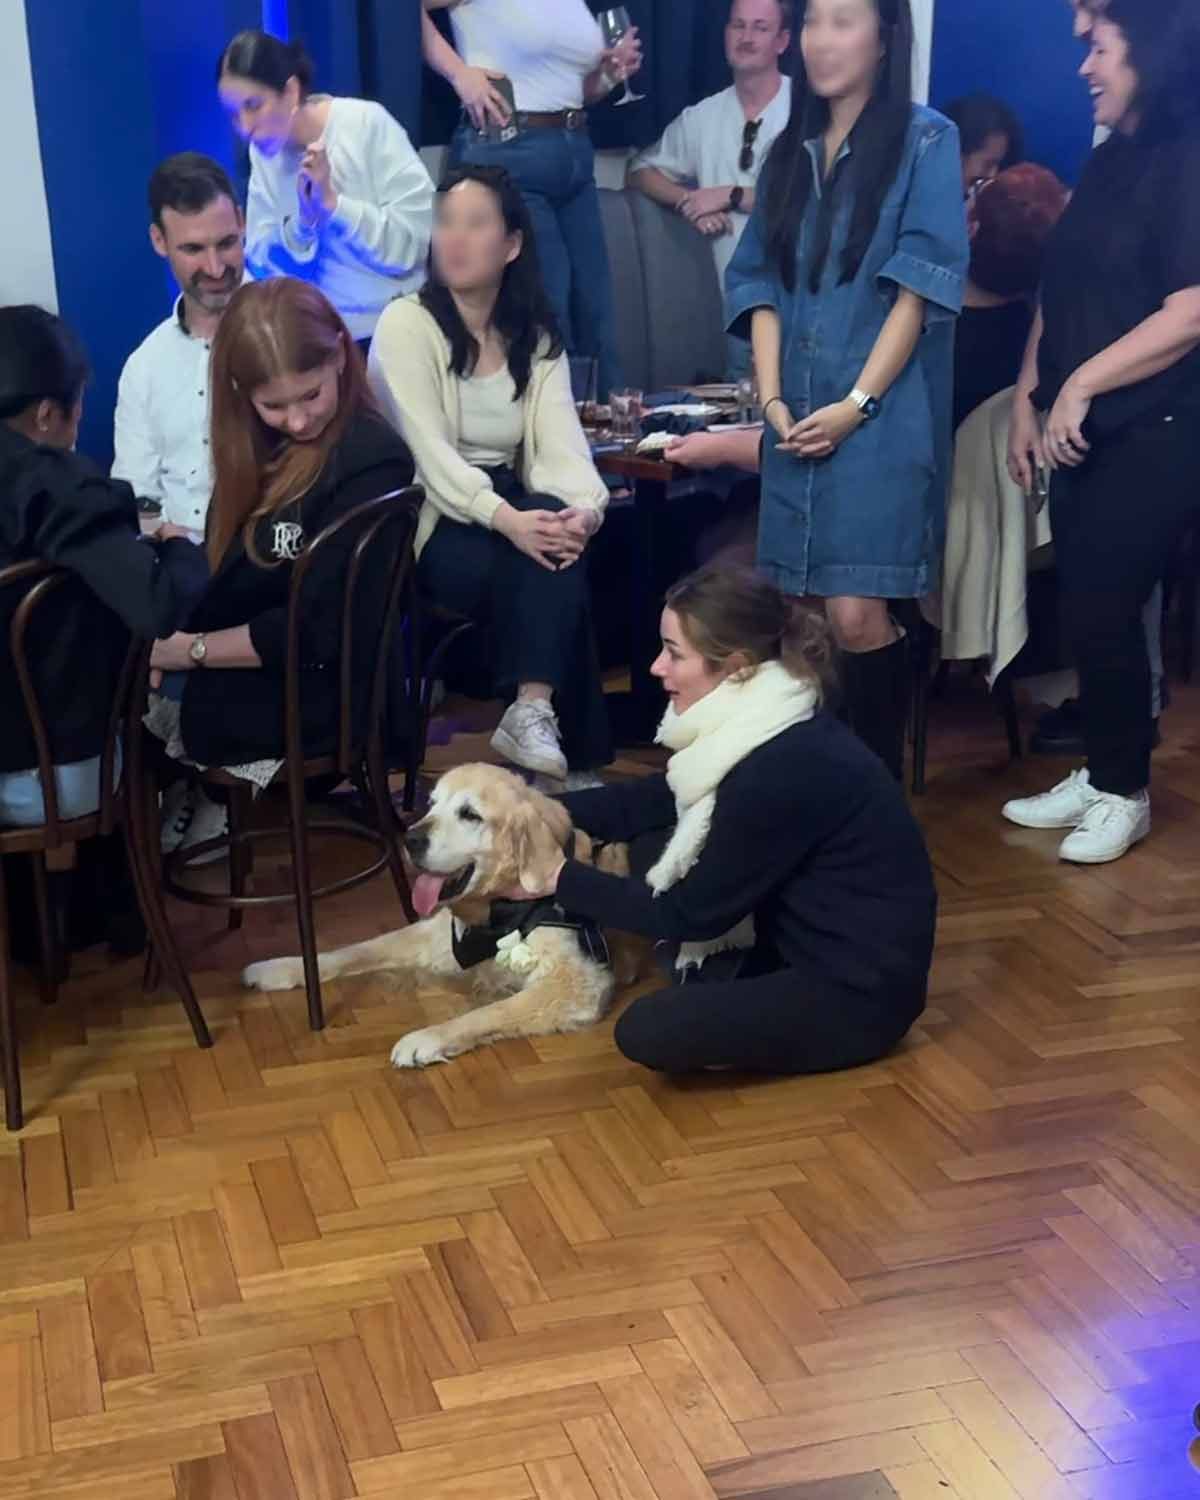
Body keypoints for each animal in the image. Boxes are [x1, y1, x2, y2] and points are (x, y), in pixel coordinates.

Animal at [242, 764, 635, 1067]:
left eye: (470, 814)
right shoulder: (438, 935)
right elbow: (357, 949)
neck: (497, 909)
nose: (410, 839)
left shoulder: (577, 982)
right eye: (431, 805)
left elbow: (491, 1011)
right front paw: (281, 967)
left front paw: (425, 1038)